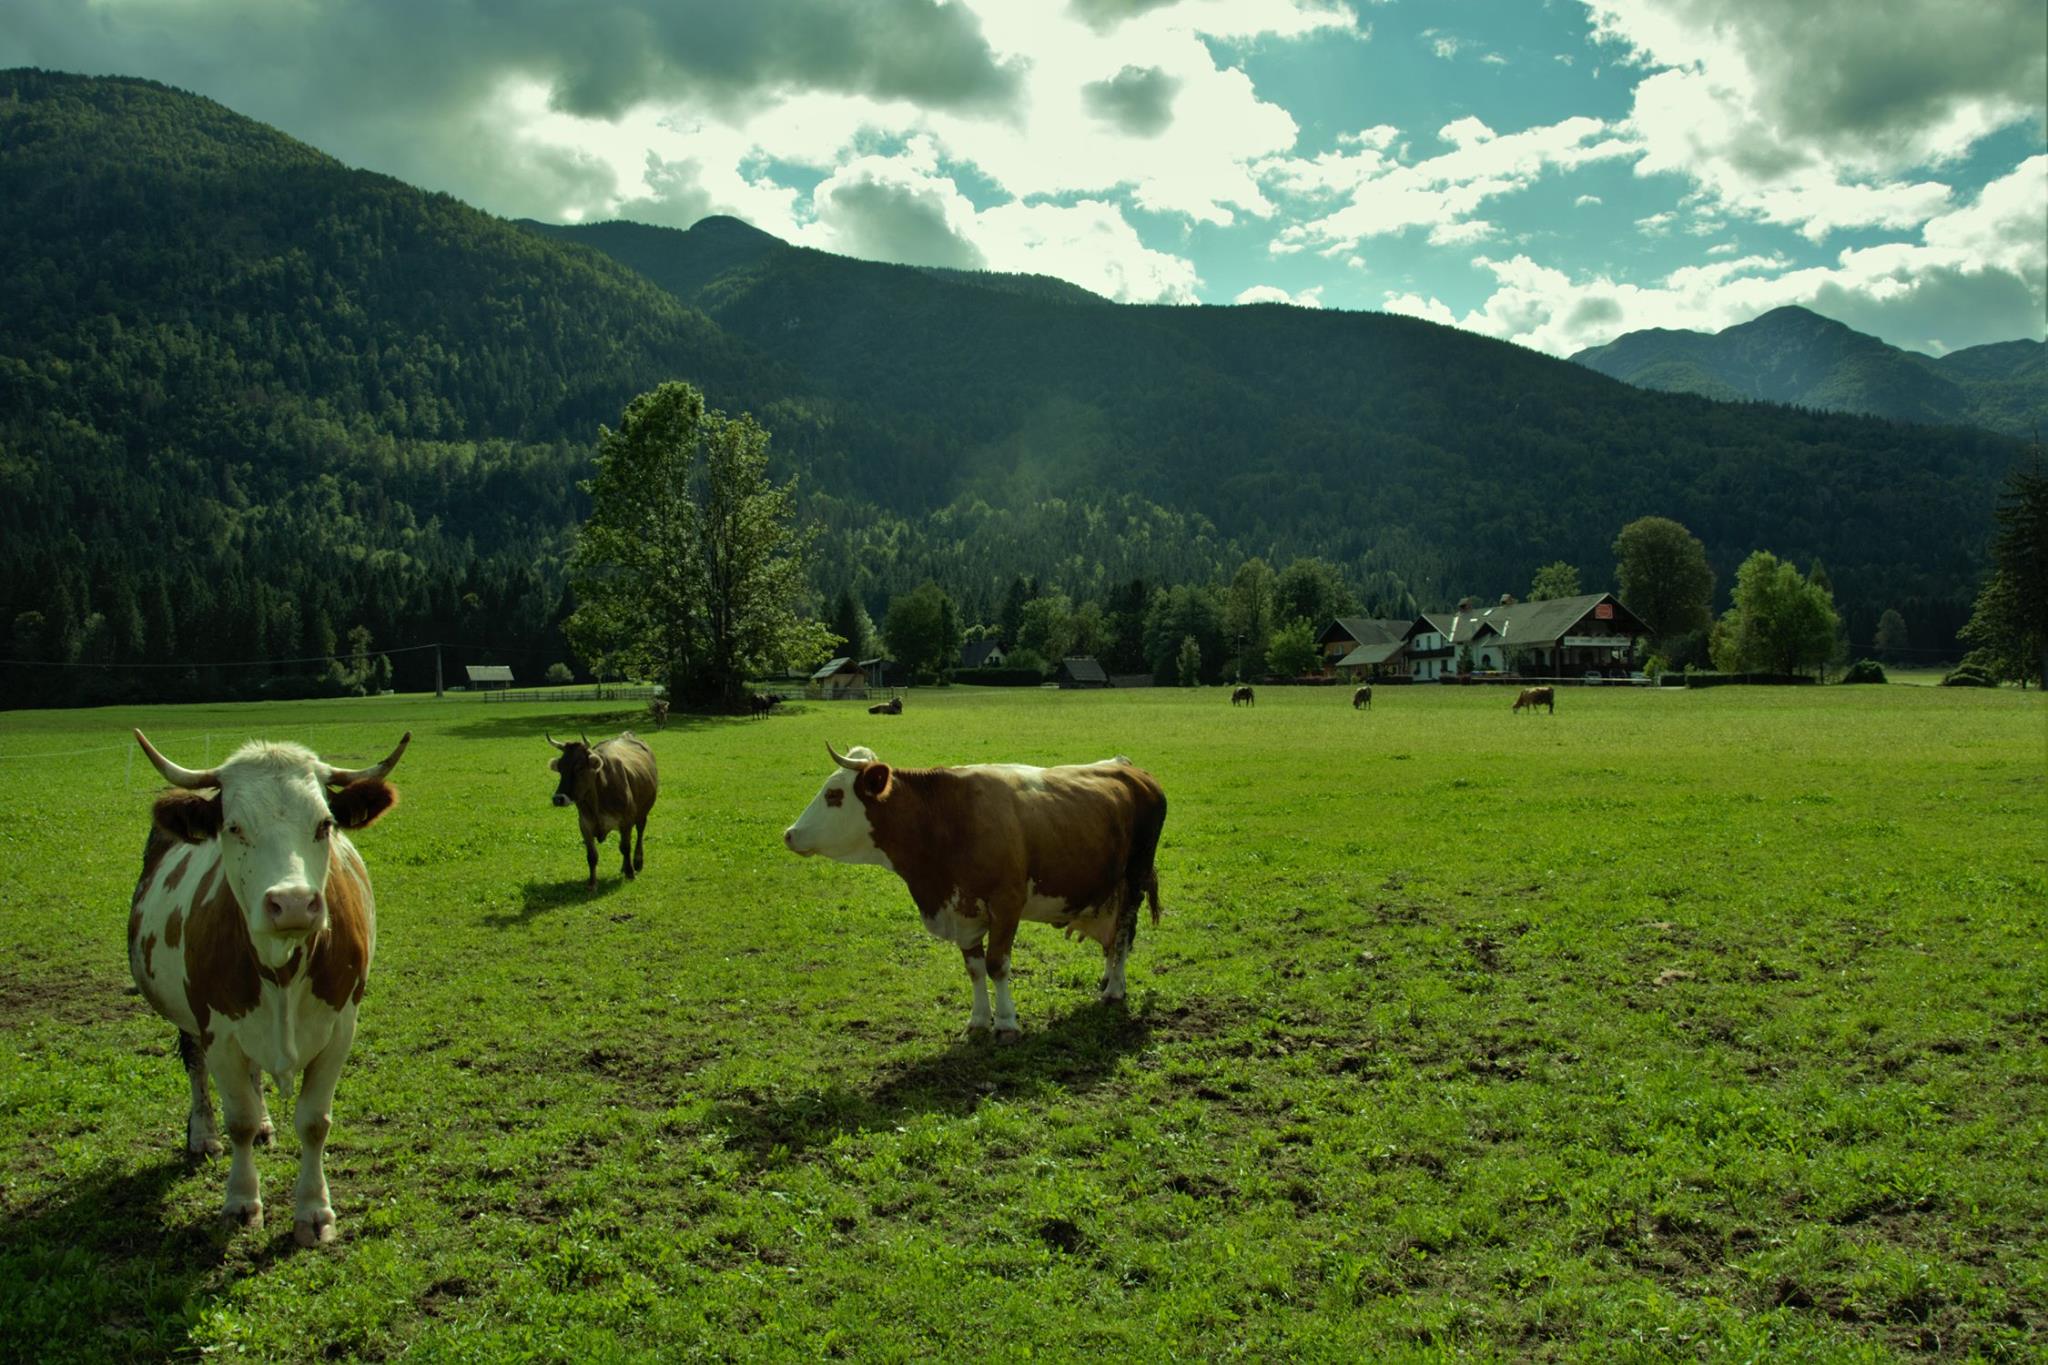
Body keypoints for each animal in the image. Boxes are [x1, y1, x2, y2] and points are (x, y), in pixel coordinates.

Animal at [127, 728, 408, 1246]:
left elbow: (314, 1122)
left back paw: (263, 1124)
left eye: (324, 824)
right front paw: (240, 1203)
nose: (293, 903)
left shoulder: (340, 1030)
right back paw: (203, 1135)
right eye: (234, 827)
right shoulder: (218, 1030)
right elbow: (234, 1117)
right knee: (194, 1065)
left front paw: (314, 1211)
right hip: (191, 1020)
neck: (281, 966)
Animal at [545, 731, 659, 888]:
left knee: (640, 833)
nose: (558, 799)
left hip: (643, 812)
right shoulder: (585, 824)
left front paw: (630, 874)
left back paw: (637, 862)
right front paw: (592, 883)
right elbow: (592, 856)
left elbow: (625, 847)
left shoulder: (626, 821)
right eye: (560, 768)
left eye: (579, 767)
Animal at [784, 745, 1167, 1042]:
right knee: (1115, 939)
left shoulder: (1007, 903)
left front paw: (1007, 1023)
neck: (944, 818)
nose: (789, 834)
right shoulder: (963, 910)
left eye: (834, 795)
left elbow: (997, 965)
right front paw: (979, 1020)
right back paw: (1108, 979)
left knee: (1123, 932)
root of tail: (1130, 769)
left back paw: (1115, 988)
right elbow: (975, 968)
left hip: (1134, 877)